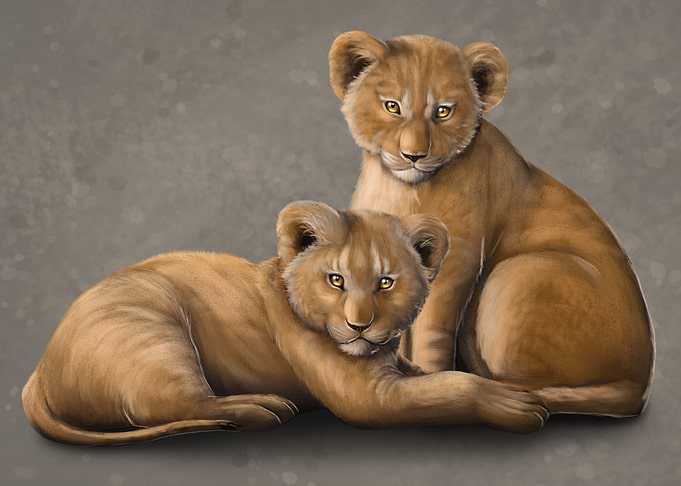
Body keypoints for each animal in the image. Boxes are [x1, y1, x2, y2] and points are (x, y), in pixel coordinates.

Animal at [22, 201, 549, 445]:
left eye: (386, 283)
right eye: (336, 279)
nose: (359, 327)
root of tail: (39, 372)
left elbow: (431, 376)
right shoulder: (368, 398)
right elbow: (450, 388)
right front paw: (515, 404)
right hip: (154, 327)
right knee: (174, 406)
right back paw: (263, 408)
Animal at [329, 31, 654, 417]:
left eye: (443, 111)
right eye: (392, 106)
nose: (414, 155)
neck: (402, 187)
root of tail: (639, 384)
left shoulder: (457, 261)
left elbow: (431, 330)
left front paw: (427, 375)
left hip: (520, 272)